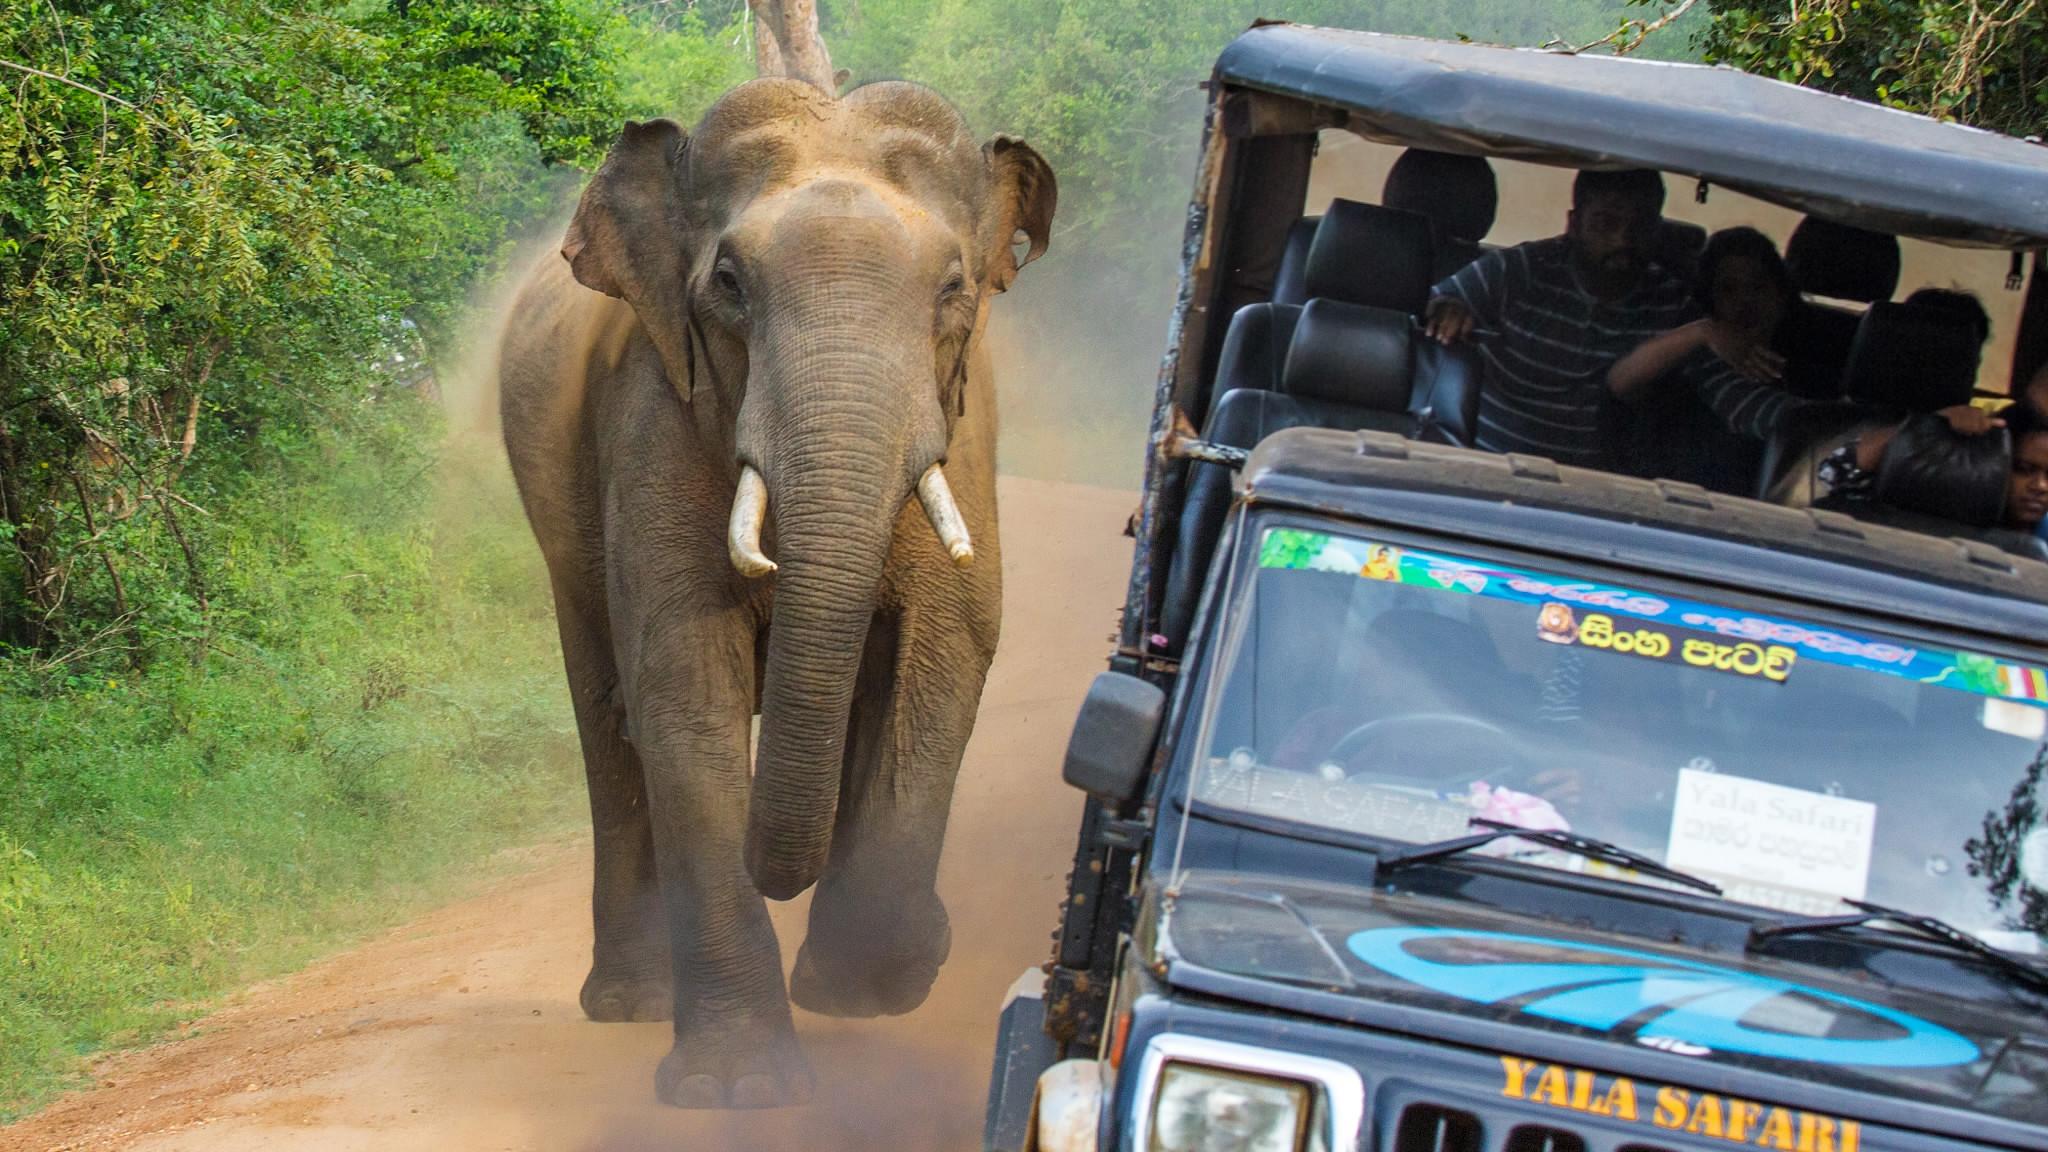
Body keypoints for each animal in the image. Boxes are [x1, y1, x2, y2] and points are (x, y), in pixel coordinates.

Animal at [495, 78, 1056, 1106]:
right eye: (729, 284)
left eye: (953, 289)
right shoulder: (652, 413)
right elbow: (682, 683)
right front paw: (740, 1090)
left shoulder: (965, 432)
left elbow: (946, 652)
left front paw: (877, 982)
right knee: (605, 716)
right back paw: (630, 1002)